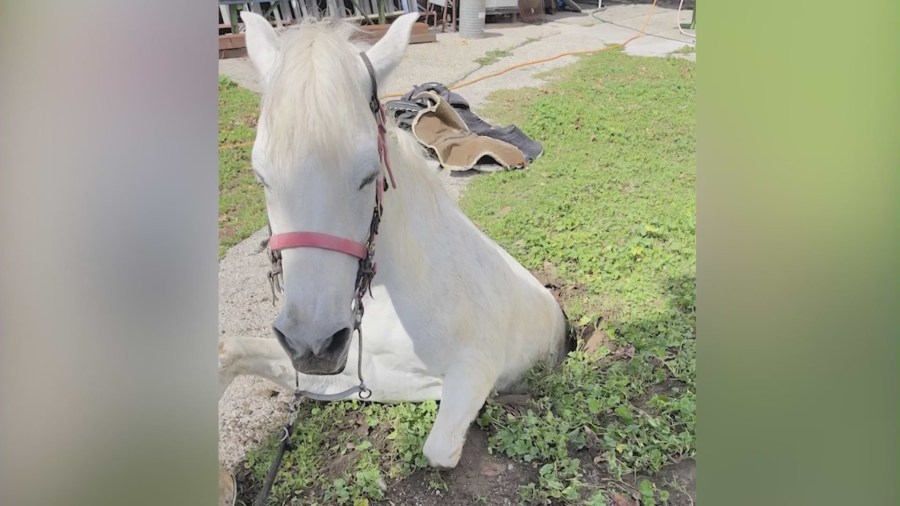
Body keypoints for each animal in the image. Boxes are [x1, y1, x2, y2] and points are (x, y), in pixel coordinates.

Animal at [221, 10, 568, 478]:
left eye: (370, 174)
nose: (311, 344)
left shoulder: (476, 368)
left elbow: (438, 448)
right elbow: (227, 351)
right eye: (262, 177)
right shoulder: (354, 371)